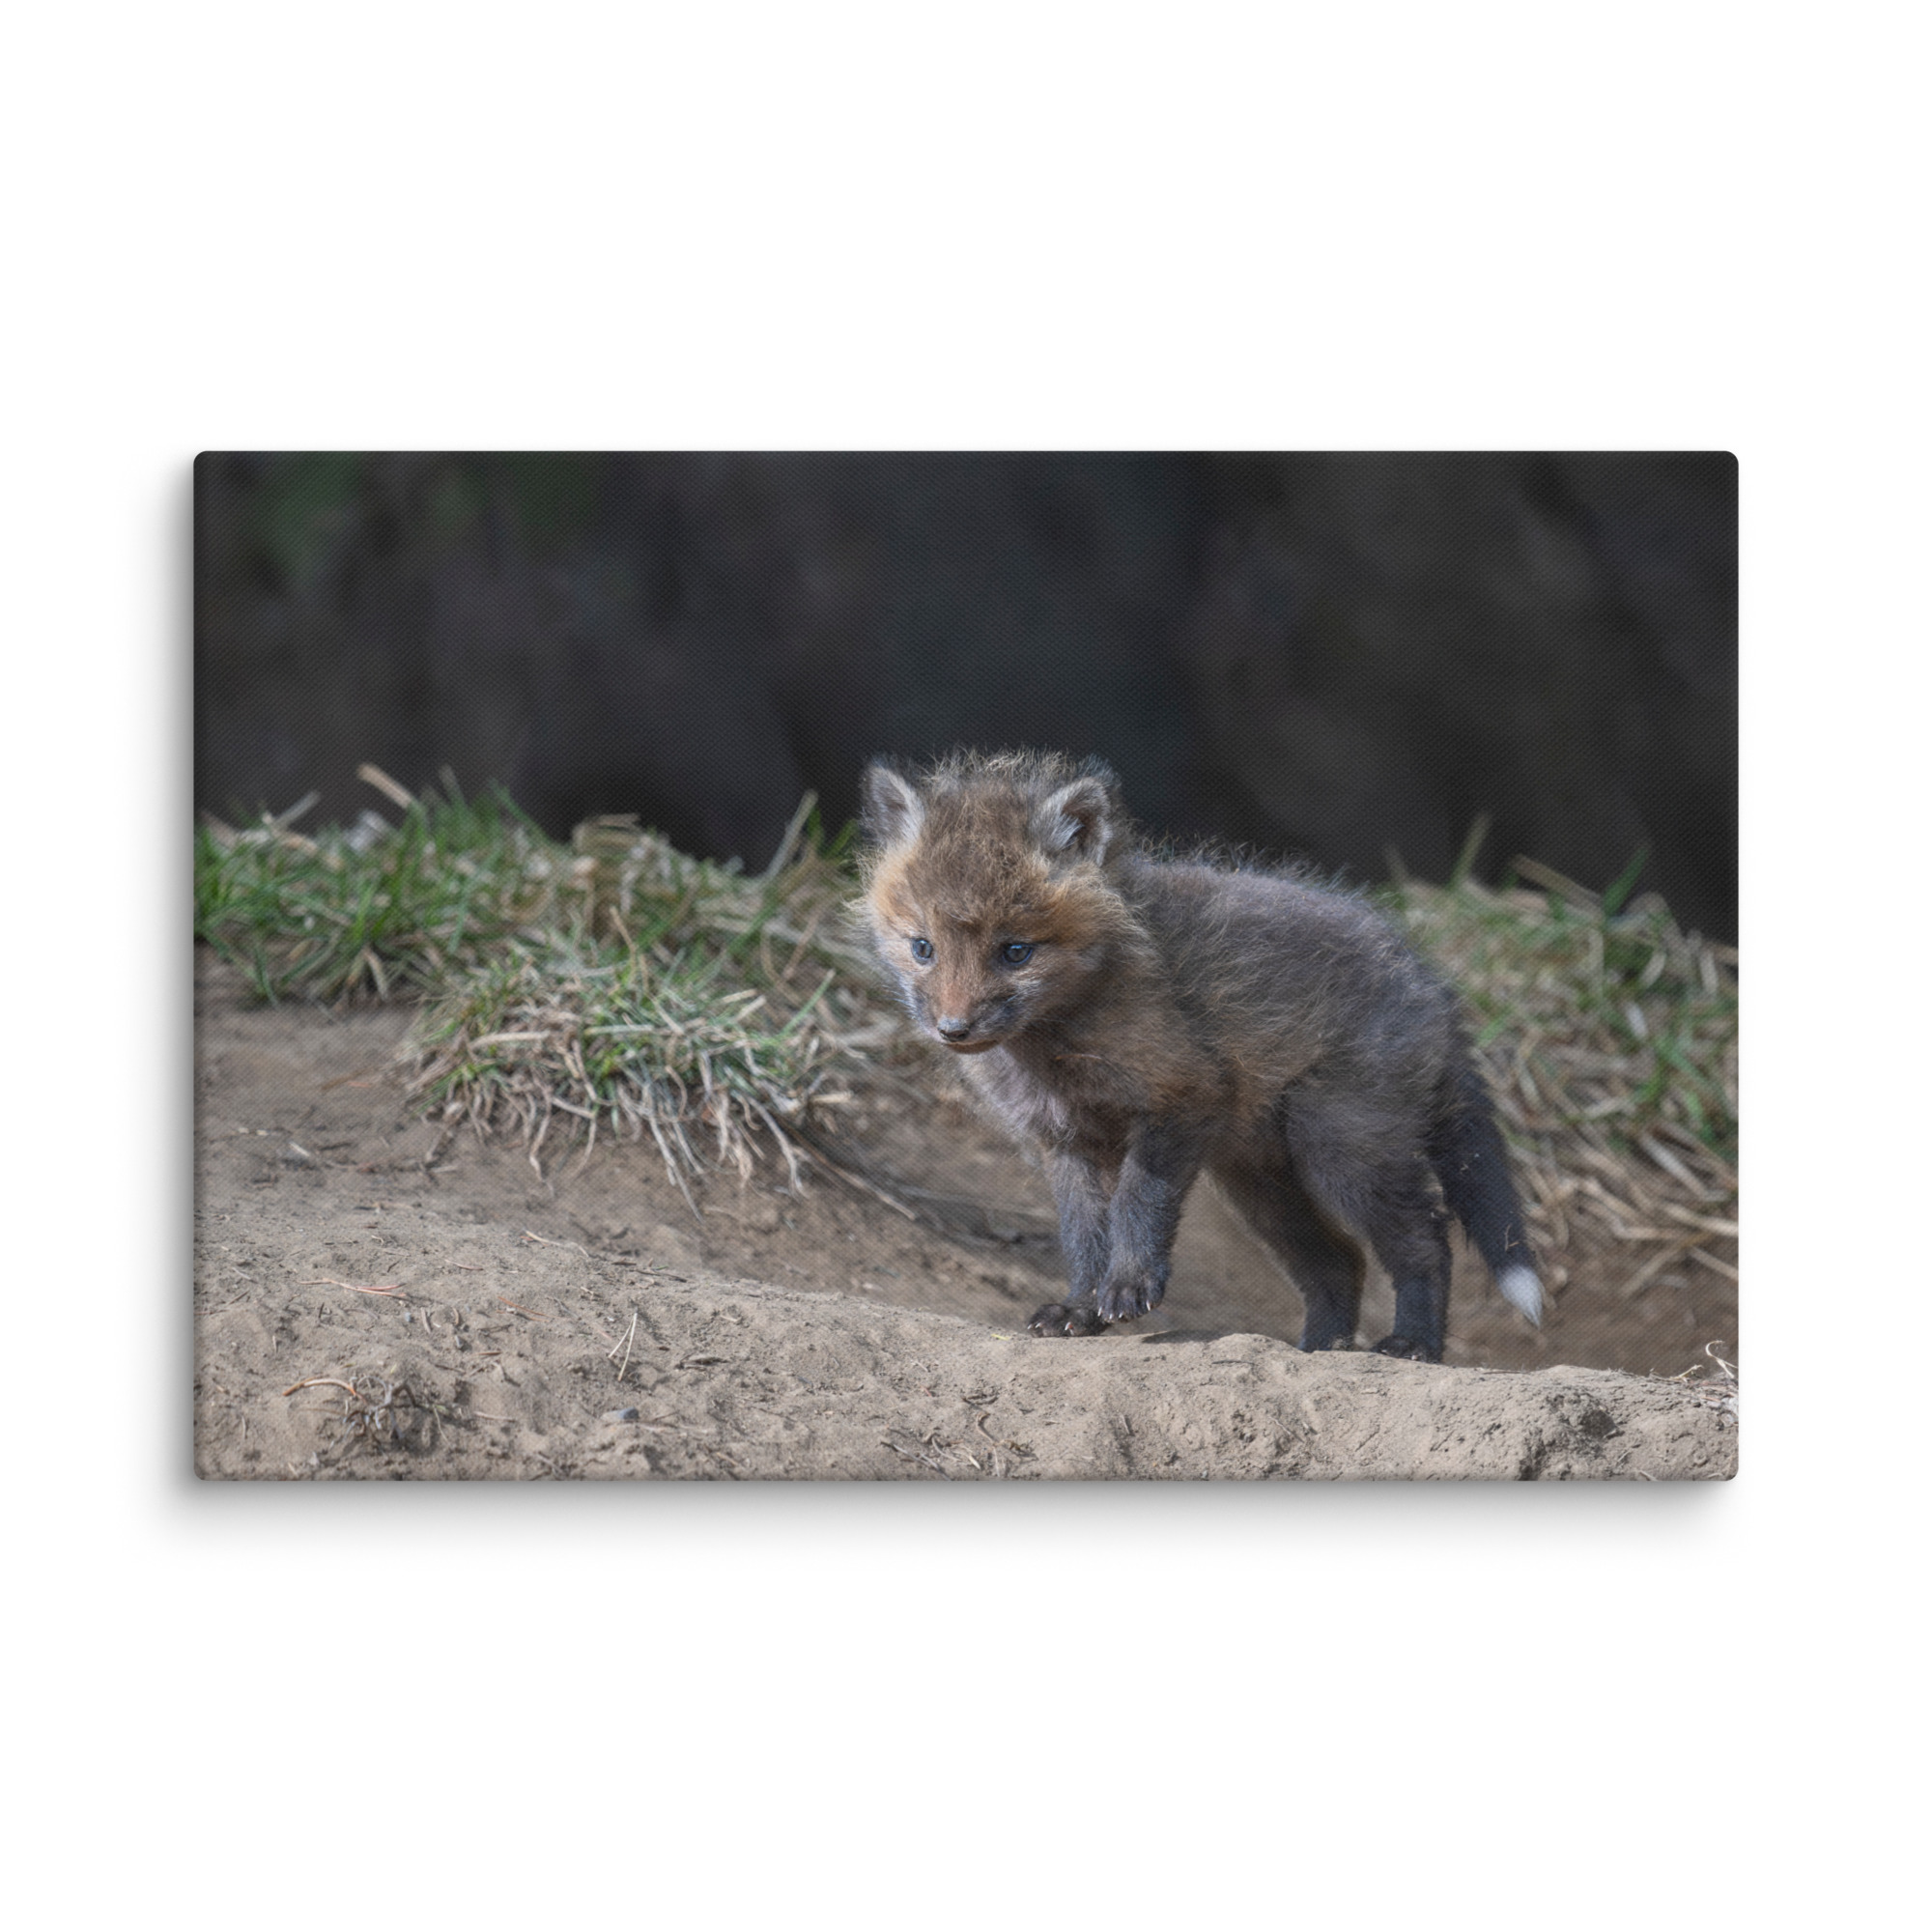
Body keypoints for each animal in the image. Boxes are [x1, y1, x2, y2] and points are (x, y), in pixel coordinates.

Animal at [857, 749, 1543, 1361]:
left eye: (1015, 951)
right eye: (923, 947)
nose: (953, 1029)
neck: (1056, 1049)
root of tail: (1432, 984)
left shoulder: (1182, 1095)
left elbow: (1138, 1202)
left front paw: (1129, 1286)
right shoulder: (1066, 1140)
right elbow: (1083, 1235)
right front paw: (1080, 1308)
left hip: (1341, 1149)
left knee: (1426, 1240)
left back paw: (1413, 1344)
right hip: (1261, 1182)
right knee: (1340, 1262)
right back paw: (1320, 1349)